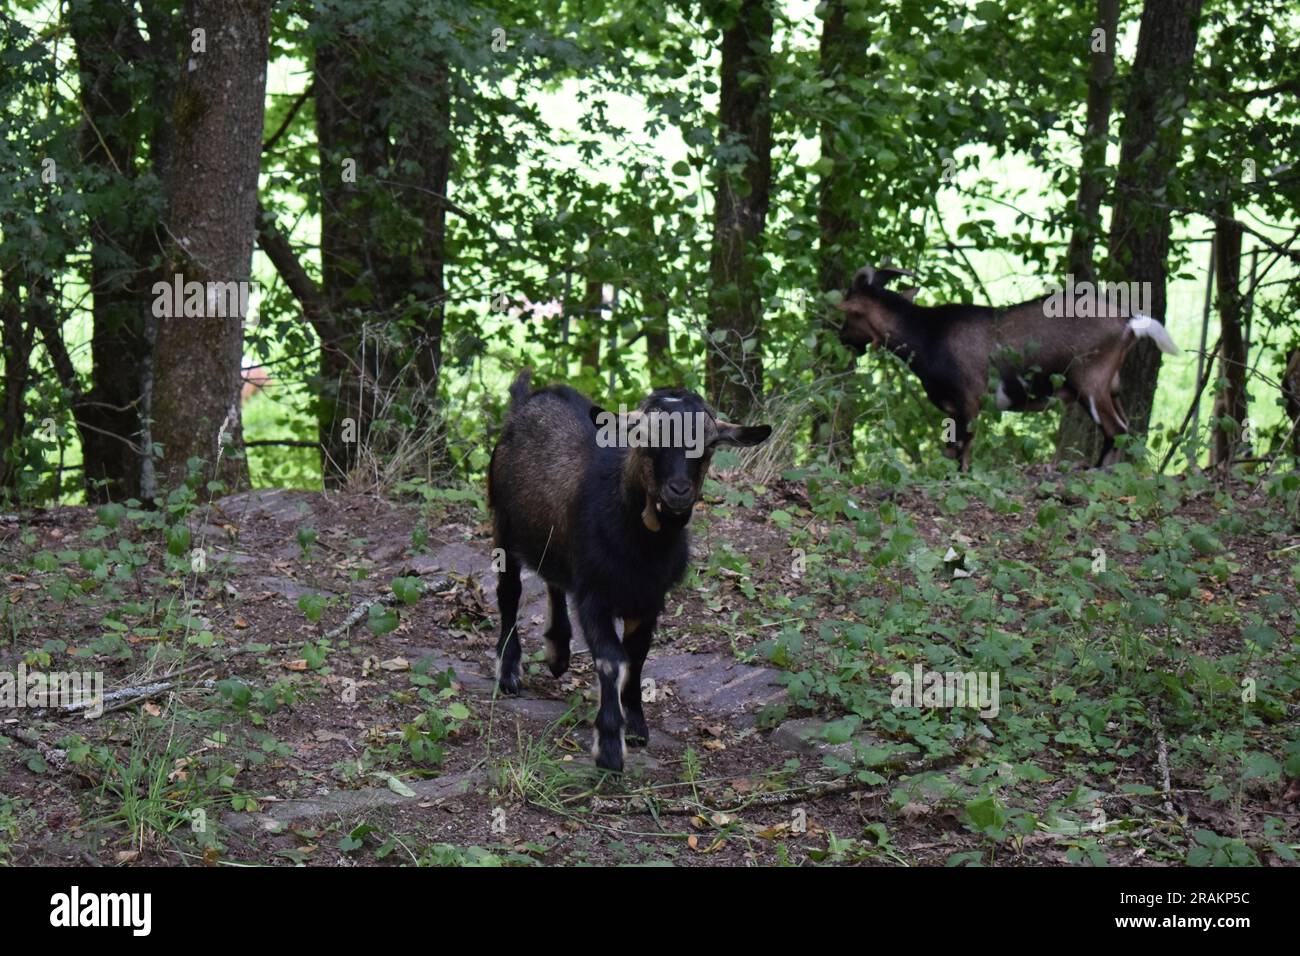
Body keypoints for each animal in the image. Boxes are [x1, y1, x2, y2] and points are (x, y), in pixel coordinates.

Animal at [487, 371, 771, 771]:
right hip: (503, 524)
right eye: (646, 439)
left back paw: (558, 650)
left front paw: (635, 725)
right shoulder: (594, 595)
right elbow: (612, 659)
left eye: (709, 444)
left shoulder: (648, 599)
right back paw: (509, 670)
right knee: (509, 592)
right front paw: (608, 745)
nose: (679, 490)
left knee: (553, 578)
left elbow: (636, 657)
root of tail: (530, 398)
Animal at [836, 264, 1180, 469]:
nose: (843, 339)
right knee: (1126, 428)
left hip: (1091, 383)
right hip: (1112, 386)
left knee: (1116, 429)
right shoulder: (954, 409)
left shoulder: (969, 401)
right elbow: (951, 449)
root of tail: (1128, 323)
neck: (927, 333)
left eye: (850, 314)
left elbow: (962, 451)